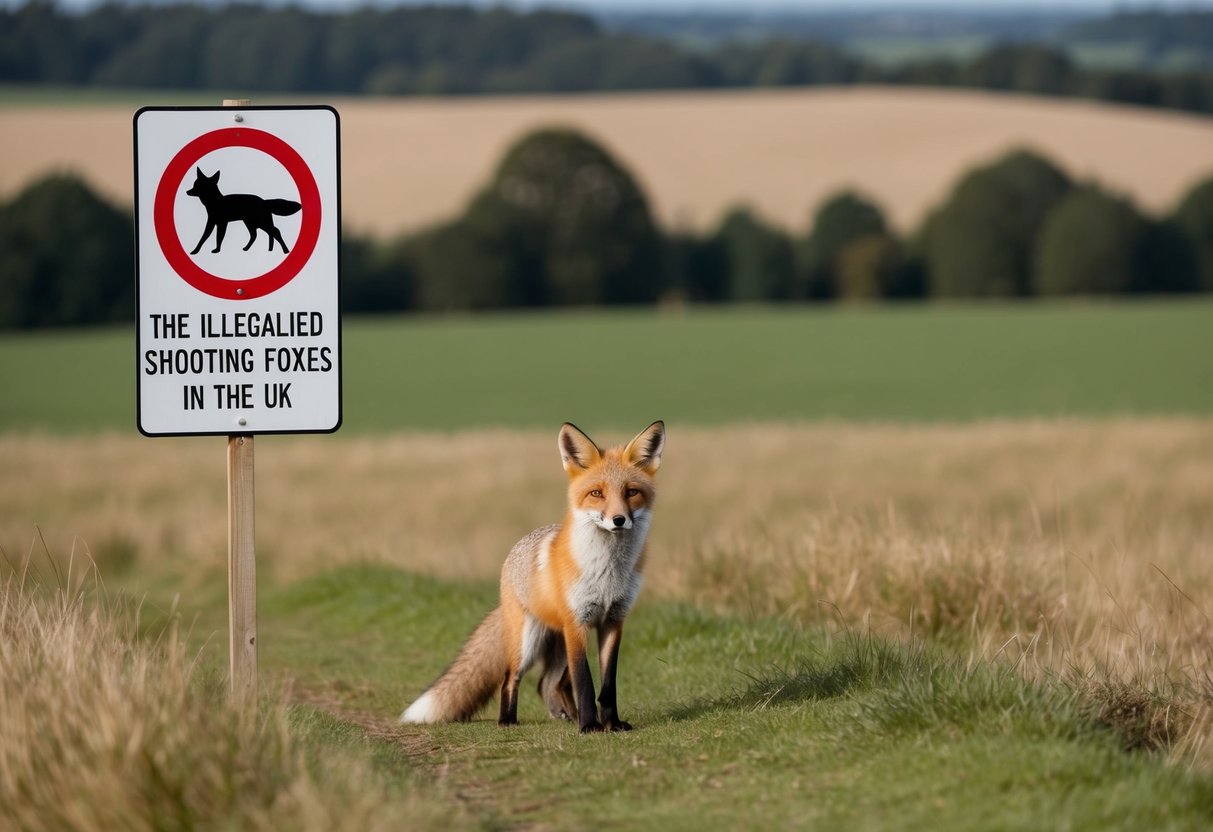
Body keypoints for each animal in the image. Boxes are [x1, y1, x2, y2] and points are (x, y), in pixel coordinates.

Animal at [400, 420, 666, 734]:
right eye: (597, 493)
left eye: (631, 492)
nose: (619, 520)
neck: (608, 573)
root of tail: (513, 553)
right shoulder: (578, 624)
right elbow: (585, 683)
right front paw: (590, 726)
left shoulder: (613, 620)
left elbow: (607, 685)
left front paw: (610, 723)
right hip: (528, 643)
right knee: (511, 678)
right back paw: (508, 720)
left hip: (559, 646)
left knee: (548, 684)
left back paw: (568, 715)